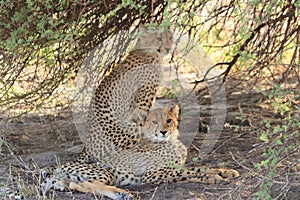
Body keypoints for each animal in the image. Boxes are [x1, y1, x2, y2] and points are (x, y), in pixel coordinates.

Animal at [41, 105, 240, 199]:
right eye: (154, 122)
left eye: (169, 120)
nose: (163, 131)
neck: (170, 142)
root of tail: (56, 167)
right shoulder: (152, 174)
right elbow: (188, 172)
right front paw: (212, 178)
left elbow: (201, 167)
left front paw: (226, 171)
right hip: (104, 171)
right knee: (86, 184)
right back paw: (123, 194)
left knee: (75, 185)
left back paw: (121, 194)